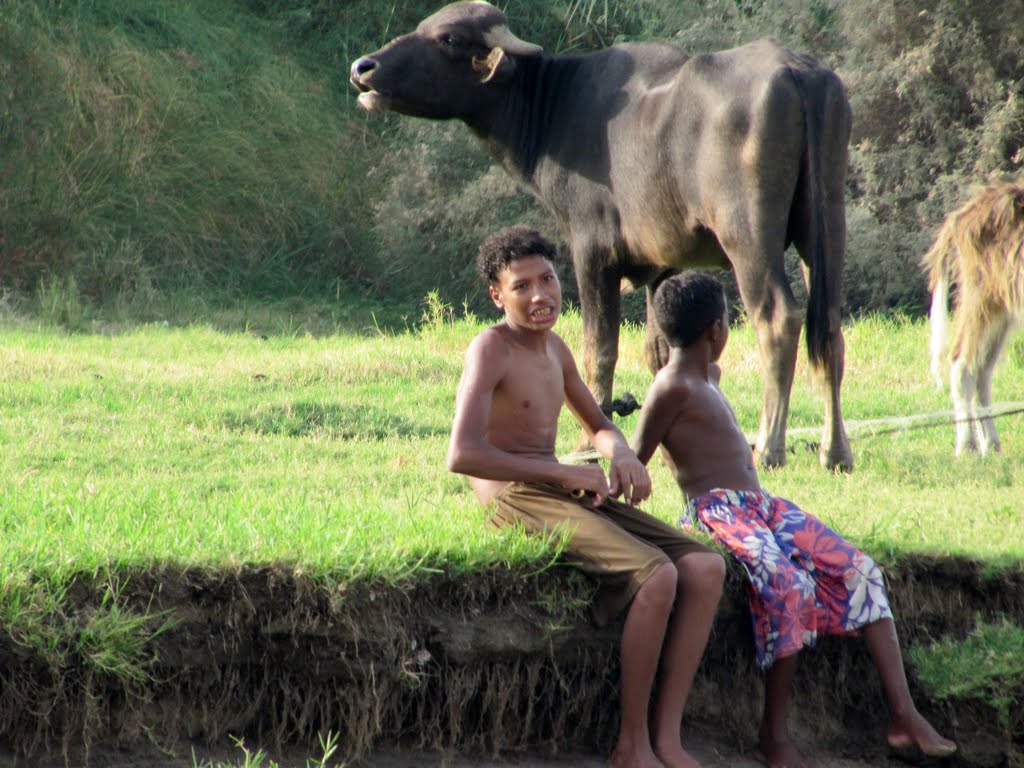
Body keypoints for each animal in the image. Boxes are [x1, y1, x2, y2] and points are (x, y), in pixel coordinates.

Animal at [352, 0, 856, 473]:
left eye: (450, 38)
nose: (363, 68)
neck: (553, 108)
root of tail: (797, 70)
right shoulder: (663, 263)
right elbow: (659, 350)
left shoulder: (591, 251)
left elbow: (599, 348)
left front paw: (585, 445)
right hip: (827, 223)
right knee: (829, 326)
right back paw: (835, 450)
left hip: (747, 232)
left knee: (778, 317)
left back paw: (769, 446)